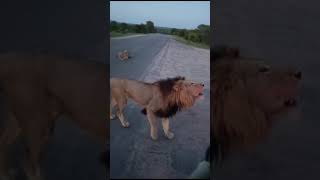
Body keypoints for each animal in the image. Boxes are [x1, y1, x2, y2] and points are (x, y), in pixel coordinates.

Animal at [0, 51, 108, 179]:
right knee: (29, 166)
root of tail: (10, 60)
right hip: (38, 124)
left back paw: (4, 175)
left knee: (3, 143)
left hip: (24, 119)